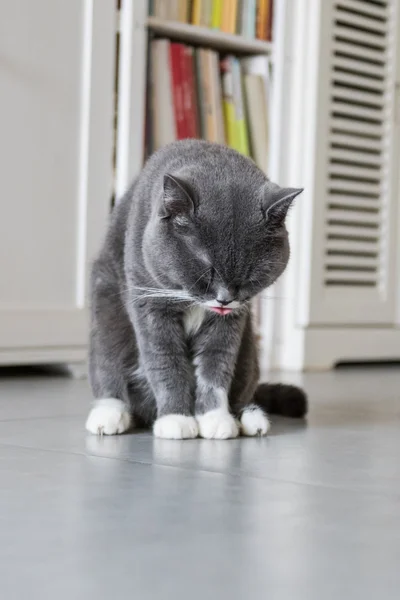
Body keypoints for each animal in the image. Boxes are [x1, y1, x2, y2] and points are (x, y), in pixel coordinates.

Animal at [86, 141, 306, 440]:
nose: (225, 299)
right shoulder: (149, 302)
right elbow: (166, 360)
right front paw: (176, 419)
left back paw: (251, 418)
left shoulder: (231, 322)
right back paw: (109, 415)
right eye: (206, 269)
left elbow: (217, 364)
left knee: (245, 387)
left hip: (249, 349)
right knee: (107, 366)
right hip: (107, 313)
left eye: (251, 273)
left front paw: (215, 418)